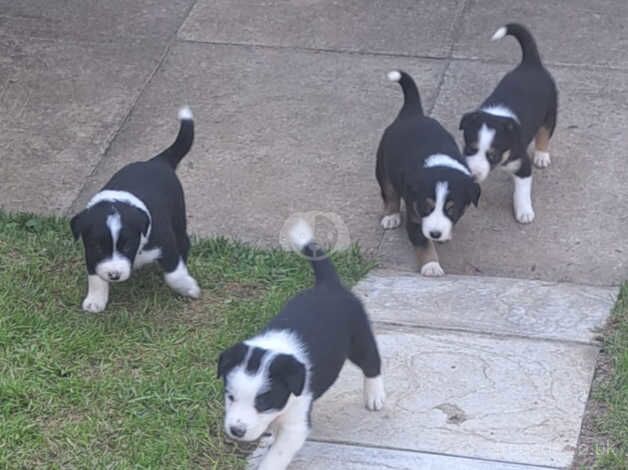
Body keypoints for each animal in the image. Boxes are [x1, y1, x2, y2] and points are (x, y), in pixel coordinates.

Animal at [70, 106, 200, 312]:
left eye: (127, 245)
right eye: (98, 246)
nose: (114, 276)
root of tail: (157, 161)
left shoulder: (166, 244)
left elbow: (174, 273)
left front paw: (188, 288)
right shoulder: (90, 252)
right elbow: (95, 276)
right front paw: (95, 301)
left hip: (178, 218)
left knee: (184, 243)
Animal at [216, 220, 382, 470]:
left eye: (262, 402)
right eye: (230, 396)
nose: (236, 431)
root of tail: (328, 285)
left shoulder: (296, 424)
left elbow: (275, 457)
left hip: (359, 339)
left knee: (372, 363)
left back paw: (375, 396)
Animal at [378, 70, 480, 276]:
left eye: (451, 209)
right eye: (427, 206)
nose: (435, 233)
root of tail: (412, 113)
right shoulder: (415, 215)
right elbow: (423, 244)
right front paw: (431, 266)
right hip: (382, 166)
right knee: (389, 192)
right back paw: (391, 216)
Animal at [458, 23, 556, 225]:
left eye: (493, 155)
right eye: (470, 148)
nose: (474, 175)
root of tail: (531, 62)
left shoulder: (522, 164)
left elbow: (522, 191)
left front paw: (524, 212)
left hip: (550, 112)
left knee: (544, 133)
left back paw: (542, 156)